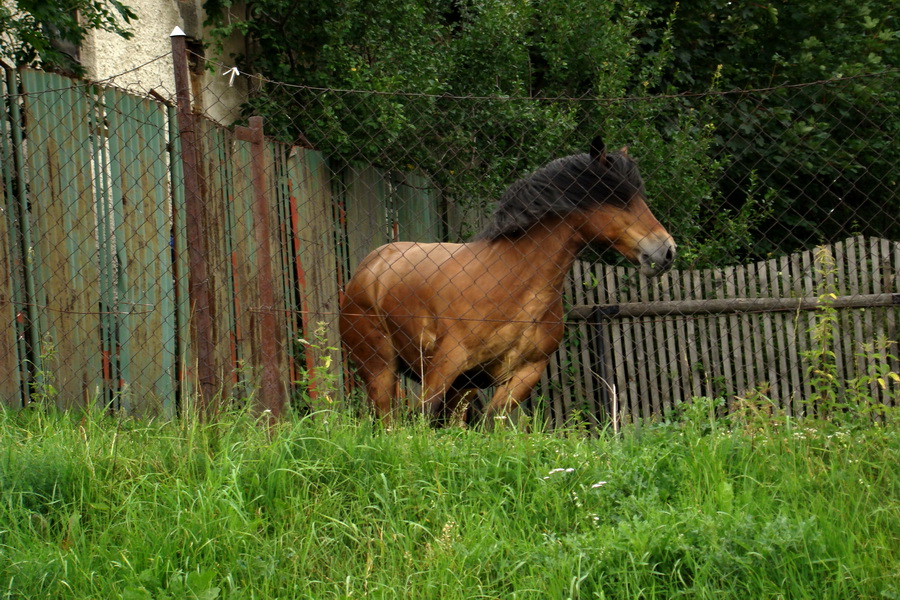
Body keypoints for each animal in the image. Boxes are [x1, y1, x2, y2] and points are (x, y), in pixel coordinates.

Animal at [340, 138, 676, 424]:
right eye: (617, 198)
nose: (666, 250)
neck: (513, 284)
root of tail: (371, 266)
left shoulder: (523, 373)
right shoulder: (444, 366)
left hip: (462, 388)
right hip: (381, 372)